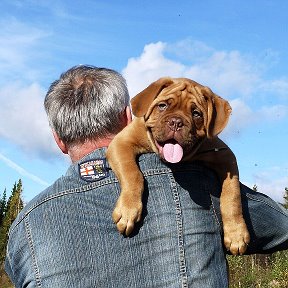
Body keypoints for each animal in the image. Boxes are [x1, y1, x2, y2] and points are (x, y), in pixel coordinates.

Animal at [106, 76, 250, 254]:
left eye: (196, 114)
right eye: (162, 106)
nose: (176, 122)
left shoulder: (226, 157)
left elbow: (232, 194)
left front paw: (237, 233)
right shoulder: (121, 143)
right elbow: (133, 174)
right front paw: (128, 209)